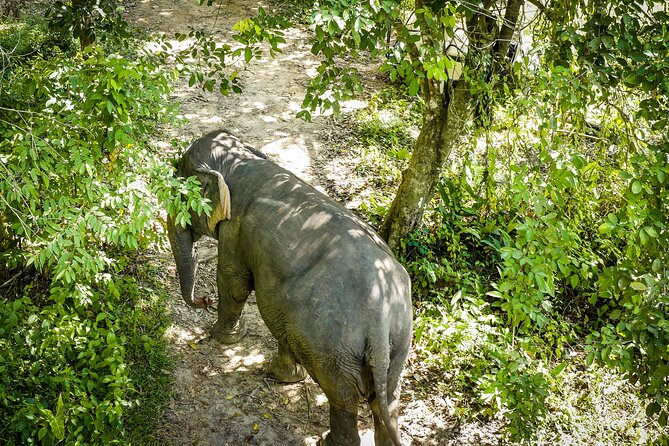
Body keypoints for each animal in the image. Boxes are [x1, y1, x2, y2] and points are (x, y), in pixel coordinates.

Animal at [167, 130, 412, 446]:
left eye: (179, 194)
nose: (203, 299)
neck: (239, 161)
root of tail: (380, 317)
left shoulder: (234, 229)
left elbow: (234, 282)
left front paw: (222, 337)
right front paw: (284, 375)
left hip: (332, 345)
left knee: (342, 397)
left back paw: (325, 440)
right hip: (397, 345)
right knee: (387, 399)